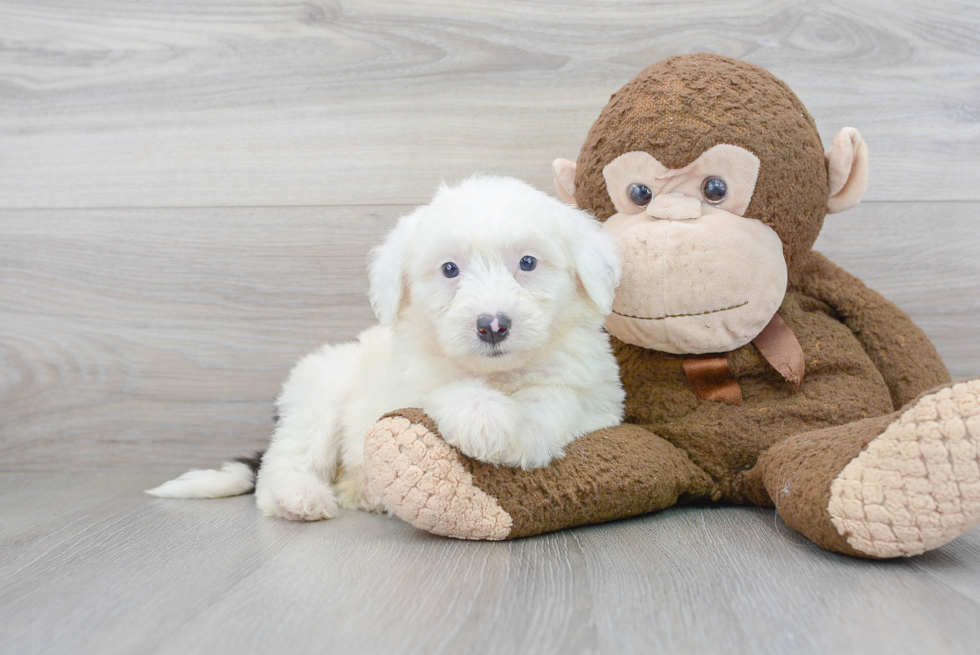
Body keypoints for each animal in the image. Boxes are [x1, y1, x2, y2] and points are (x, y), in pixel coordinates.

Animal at [149, 176, 624, 524]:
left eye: (528, 262)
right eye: (449, 269)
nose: (492, 326)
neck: (497, 374)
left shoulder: (597, 396)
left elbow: (556, 396)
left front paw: (525, 432)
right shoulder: (411, 382)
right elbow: (445, 390)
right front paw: (485, 418)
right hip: (315, 402)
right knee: (283, 465)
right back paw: (299, 497)